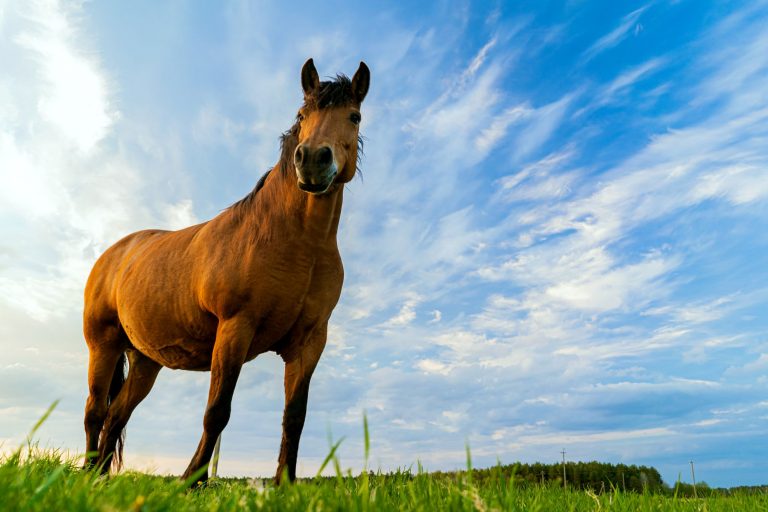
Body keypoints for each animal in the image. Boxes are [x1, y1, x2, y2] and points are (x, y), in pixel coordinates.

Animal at [83, 60, 368, 484]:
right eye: (302, 115)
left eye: (354, 116)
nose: (313, 160)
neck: (297, 243)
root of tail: (114, 253)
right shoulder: (235, 328)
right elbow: (217, 411)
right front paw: (191, 481)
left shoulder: (309, 343)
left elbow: (294, 418)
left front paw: (285, 484)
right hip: (102, 345)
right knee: (95, 412)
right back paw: (84, 473)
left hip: (145, 361)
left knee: (116, 416)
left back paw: (99, 478)